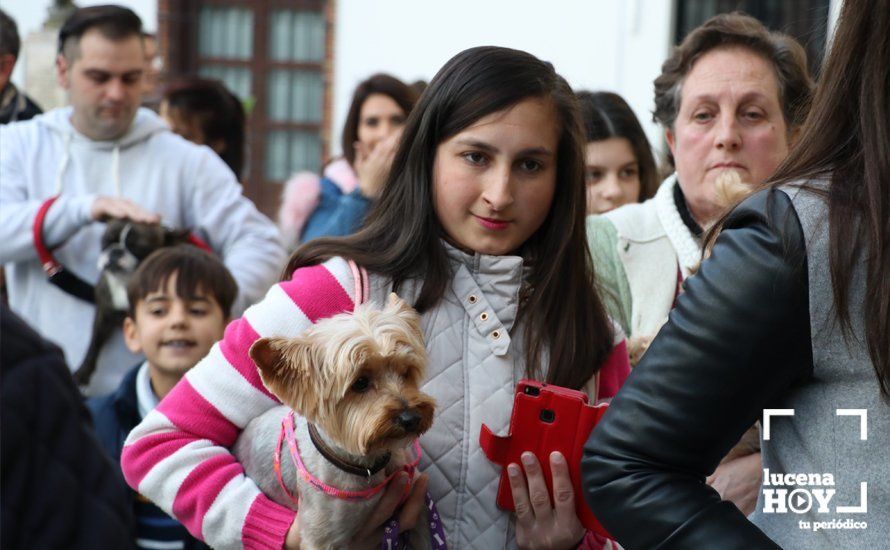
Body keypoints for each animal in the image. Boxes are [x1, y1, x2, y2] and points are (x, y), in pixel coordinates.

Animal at [73, 221, 190, 388]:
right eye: (106, 241)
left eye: (137, 247)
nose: (115, 251)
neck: (126, 283)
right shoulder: (104, 313)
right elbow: (94, 344)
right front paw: (83, 373)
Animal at [231, 296, 436, 550]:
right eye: (360, 383)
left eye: (406, 372)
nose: (411, 418)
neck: (367, 467)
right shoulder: (321, 535)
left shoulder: (417, 507)